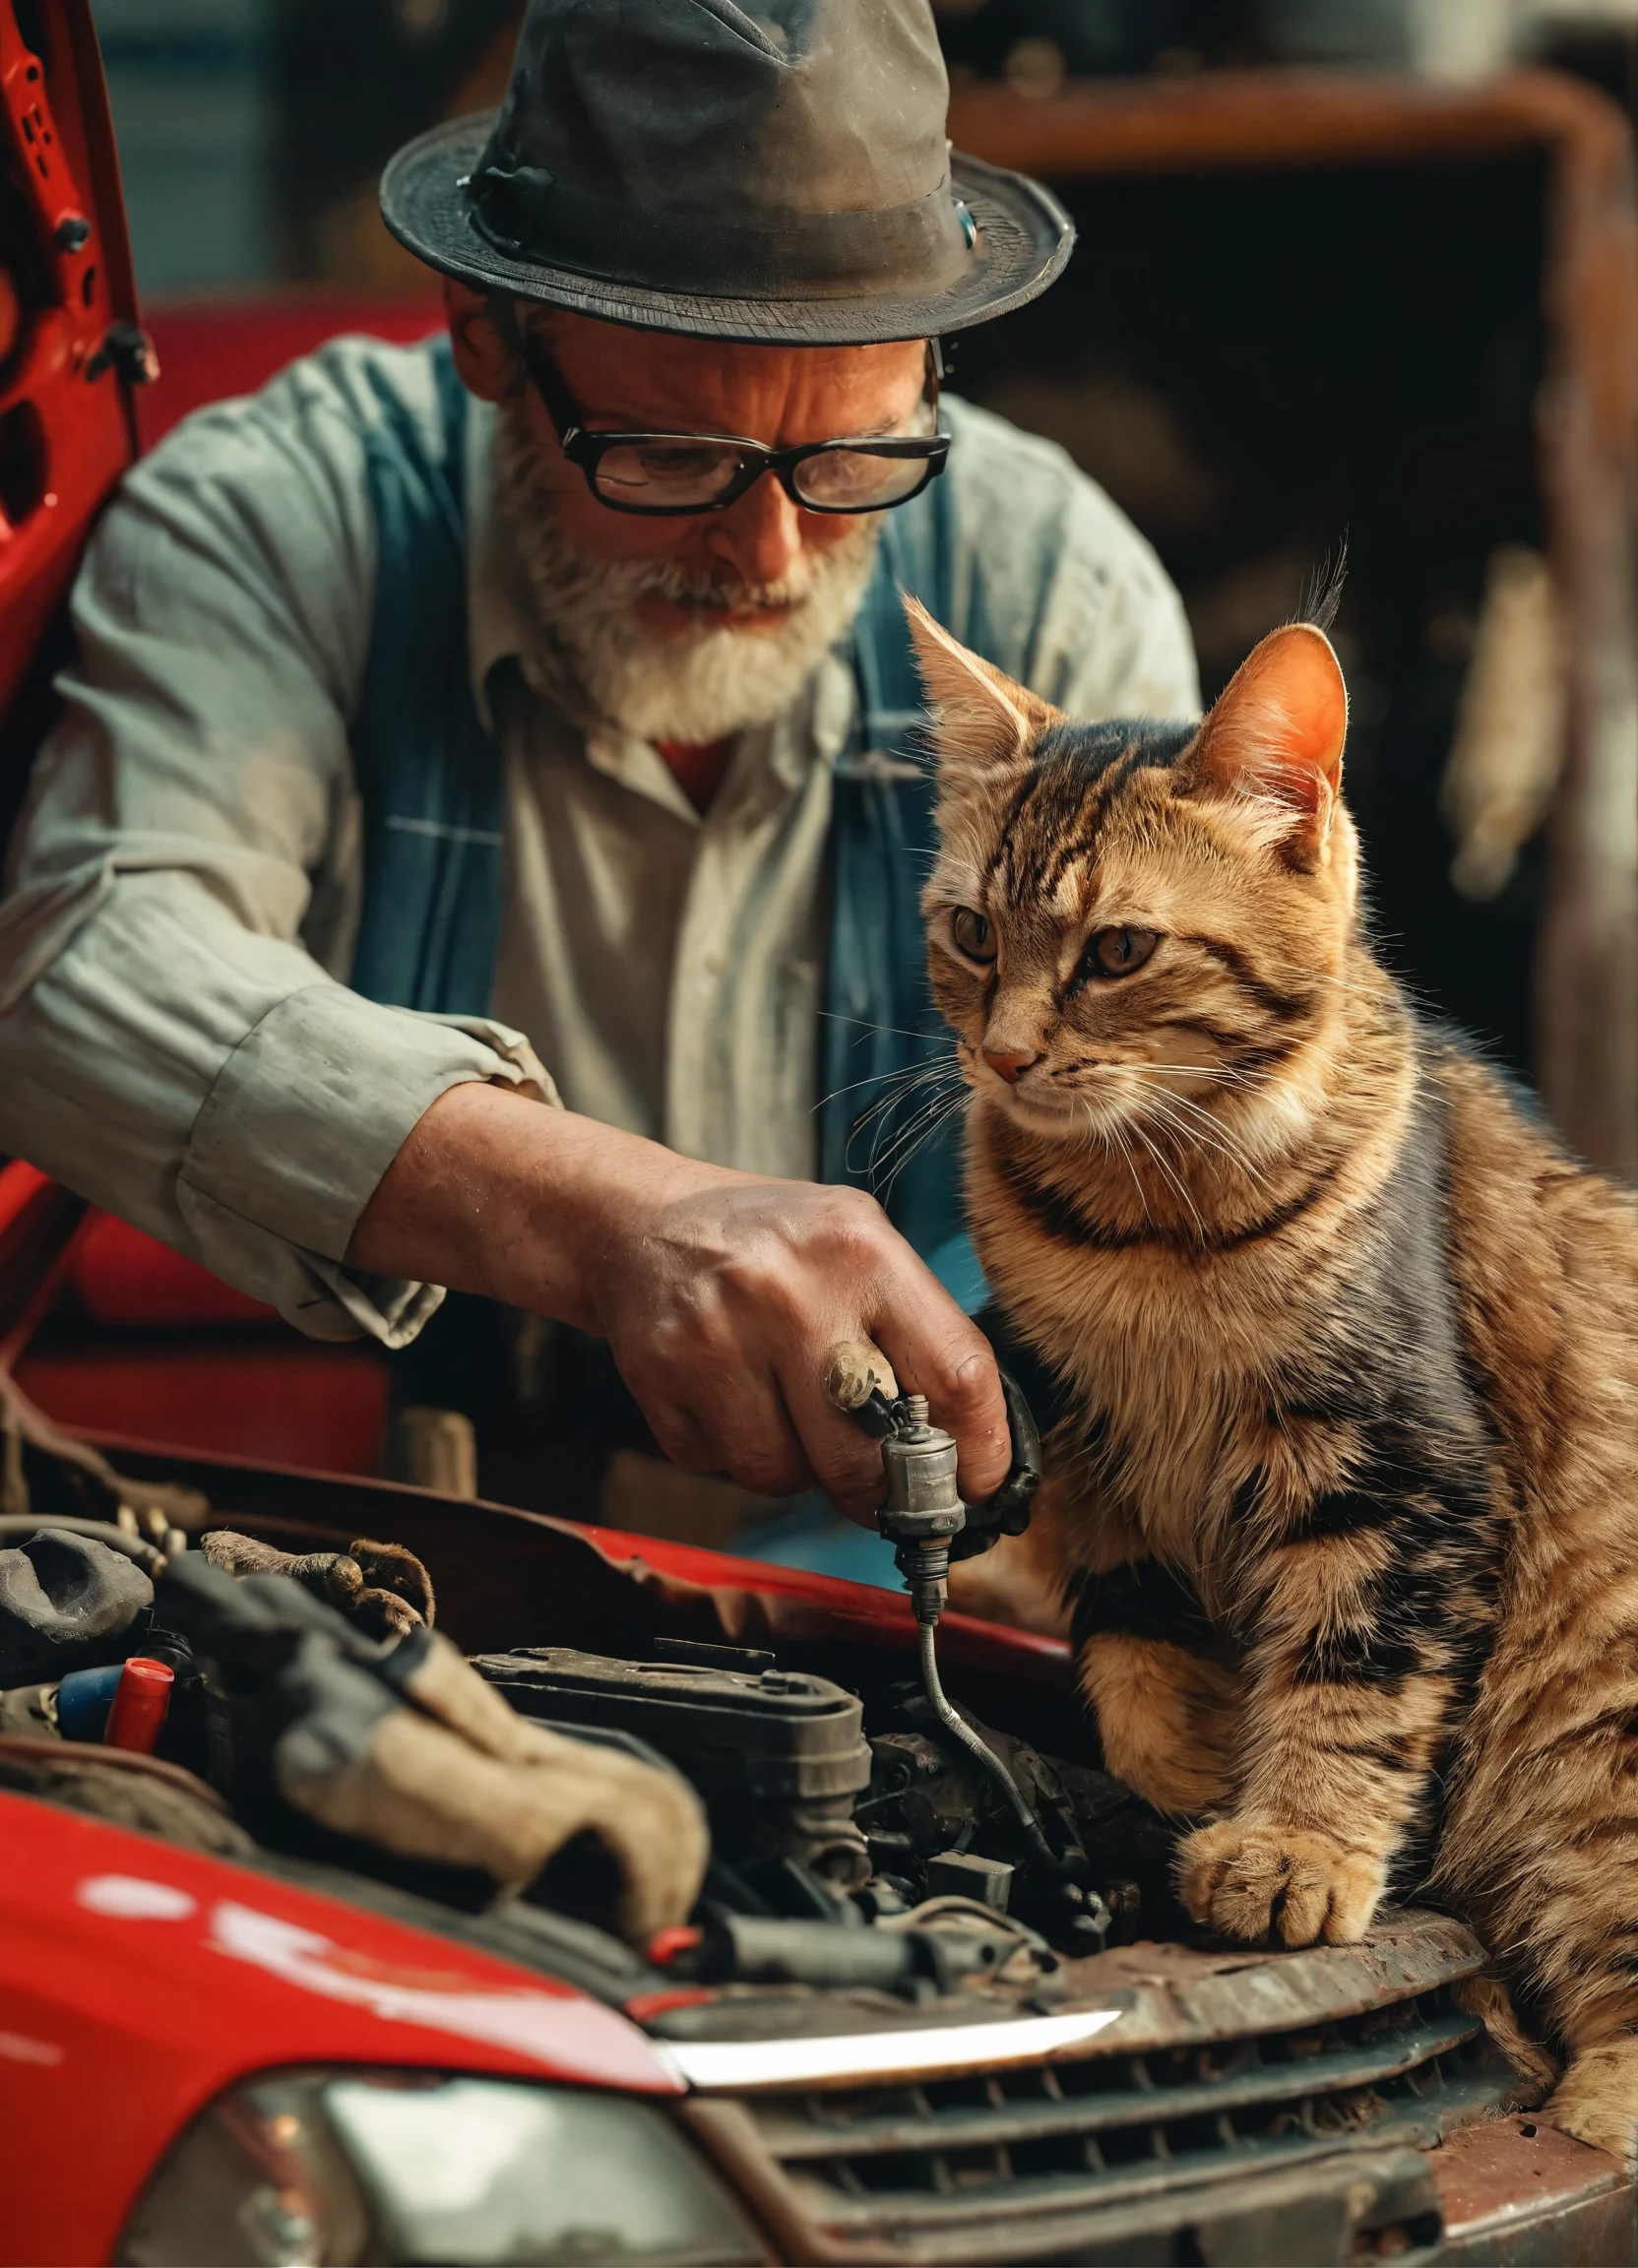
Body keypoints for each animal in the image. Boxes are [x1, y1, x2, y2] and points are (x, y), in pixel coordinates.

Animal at [912, 590, 1633, 2159]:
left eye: (1119, 951)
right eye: (971, 932)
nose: (1003, 1055)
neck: (1136, 1230)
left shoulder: (1399, 1469)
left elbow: (1349, 1676)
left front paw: (1294, 1843)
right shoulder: (1090, 1445)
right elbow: (1130, 1635)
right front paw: (1181, 1770)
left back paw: (1589, 2111)